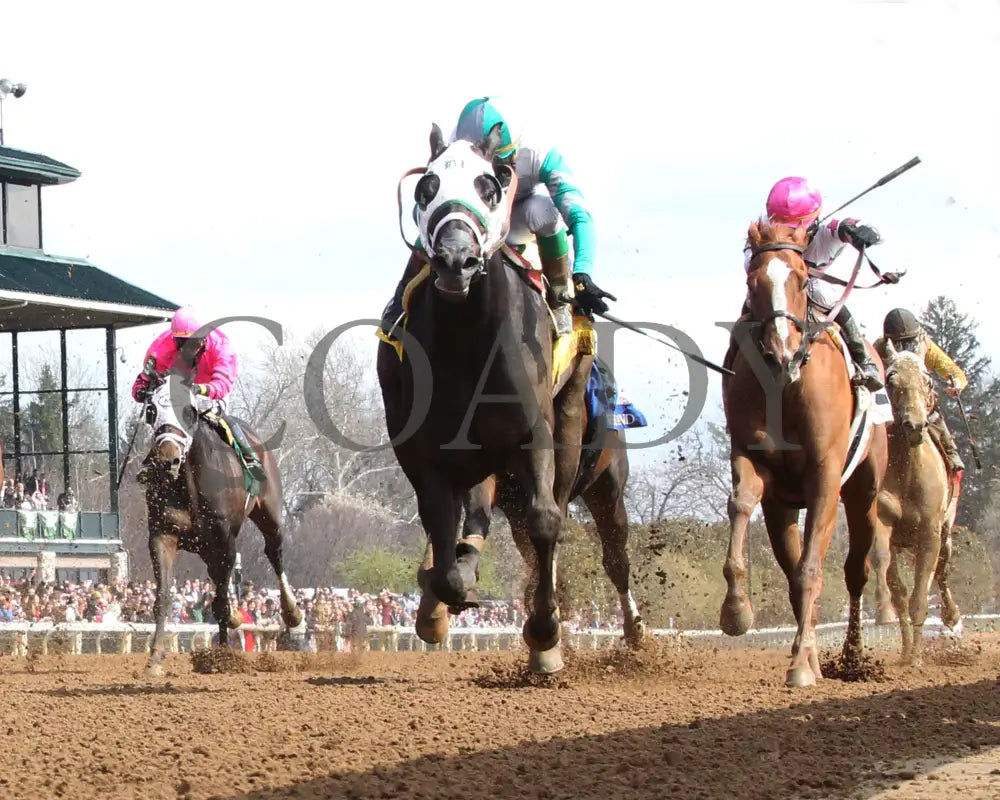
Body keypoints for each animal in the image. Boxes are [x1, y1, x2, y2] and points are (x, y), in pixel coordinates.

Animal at [140, 372, 300, 672]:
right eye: (151, 410)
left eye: (189, 411)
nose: (167, 460)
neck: (189, 486)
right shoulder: (162, 535)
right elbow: (163, 597)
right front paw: (154, 659)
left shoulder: (225, 540)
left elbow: (221, 603)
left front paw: (223, 657)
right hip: (205, 548)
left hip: (269, 514)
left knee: (274, 552)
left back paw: (292, 611)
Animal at [376, 125, 592, 672]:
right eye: (426, 187)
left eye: (490, 186)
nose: (456, 259)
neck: (468, 338)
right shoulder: (425, 449)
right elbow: (441, 529)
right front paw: (442, 599)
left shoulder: (533, 433)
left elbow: (544, 522)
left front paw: (544, 630)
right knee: (468, 519)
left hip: (569, 419)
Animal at [720, 220, 892, 688]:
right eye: (752, 281)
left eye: (800, 278)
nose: (782, 352)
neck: (785, 388)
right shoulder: (754, 461)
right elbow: (741, 503)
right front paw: (736, 611)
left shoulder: (824, 479)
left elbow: (812, 570)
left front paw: (800, 664)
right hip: (783, 509)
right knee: (793, 569)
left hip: (863, 494)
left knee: (855, 570)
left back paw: (851, 658)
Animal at [868, 340, 960, 664]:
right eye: (891, 381)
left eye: (928, 381)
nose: (915, 426)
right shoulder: (883, 520)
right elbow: (885, 568)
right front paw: (884, 612)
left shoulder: (930, 532)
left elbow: (922, 592)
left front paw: (918, 658)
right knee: (901, 590)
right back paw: (907, 648)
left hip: (946, 533)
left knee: (942, 574)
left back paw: (950, 616)